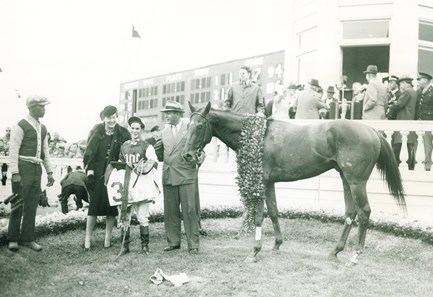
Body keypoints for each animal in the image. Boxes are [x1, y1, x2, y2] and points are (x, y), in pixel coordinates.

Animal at [182, 102, 404, 264]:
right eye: (187, 126)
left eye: (199, 126)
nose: (187, 155)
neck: (257, 136)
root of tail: (372, 130)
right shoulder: (269, 183)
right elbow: (273, 212)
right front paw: (277, 244)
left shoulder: (261, 181)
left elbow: (258, 216)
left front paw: (254, 252)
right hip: (345, 179)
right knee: (351, 213)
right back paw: (335, 251)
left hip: (356, 181)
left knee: (364, 211)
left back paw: (355, 255)